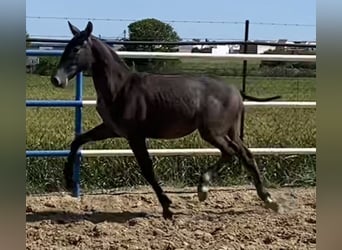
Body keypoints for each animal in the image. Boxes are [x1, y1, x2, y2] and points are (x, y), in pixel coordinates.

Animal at [51, 21, 280, 219]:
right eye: (67, 46)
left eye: (76, 48)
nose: (56, 79)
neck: (120, 88)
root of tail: (236, 91)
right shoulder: (111, 129)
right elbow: (78, 140)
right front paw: (68, 180)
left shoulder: (135, 136)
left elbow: (147, 169)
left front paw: (167, 206)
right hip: (228, 131)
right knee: (245, 154)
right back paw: (269, 200)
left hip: (212, 132)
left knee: (230, 152)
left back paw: (204, 188)